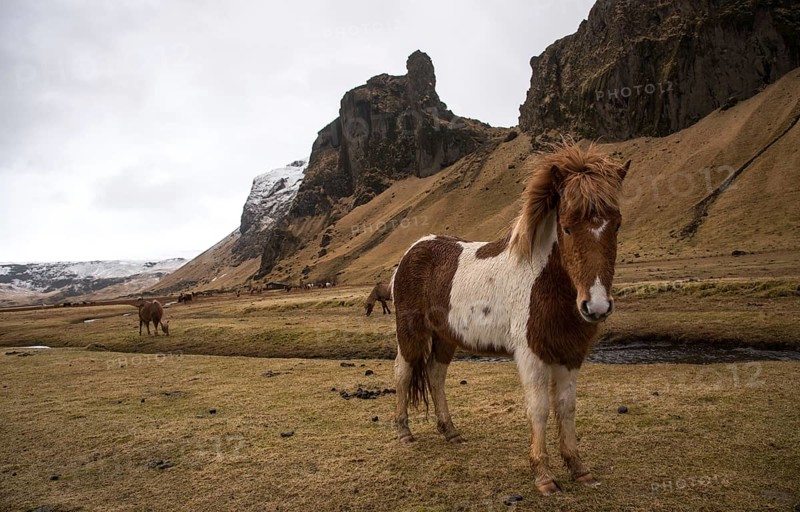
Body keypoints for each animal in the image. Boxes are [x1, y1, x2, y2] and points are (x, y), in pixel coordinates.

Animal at [391, 142, 629, 496]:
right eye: (567, 226)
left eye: (616, 225)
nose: (596, 306)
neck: (543, 282)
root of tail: (414, 250)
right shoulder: (531, 355)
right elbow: (539, 408)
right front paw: (544, 475)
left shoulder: (571, 354)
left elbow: (567, 407)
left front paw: (578, 468)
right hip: (411, 333)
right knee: (404, 373)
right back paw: (404, 433)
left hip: (445, 338)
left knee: (435, 375)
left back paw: (450, 431)